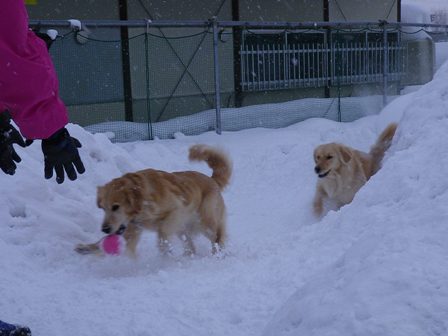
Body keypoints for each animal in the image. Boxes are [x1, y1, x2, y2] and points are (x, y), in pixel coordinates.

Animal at [74, 144, 231, 258]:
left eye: (115, 207)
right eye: (103, 208)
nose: (105, 229)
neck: (142, 199)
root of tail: (212, 179)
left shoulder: (177, 210)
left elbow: (162, 232)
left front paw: (164, 250)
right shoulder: (131, 228)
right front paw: (86, 248)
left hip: (204, 222)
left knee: (218, 237)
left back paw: (217, 254)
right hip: (184, 228)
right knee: (191, 246)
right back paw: (187, 257)